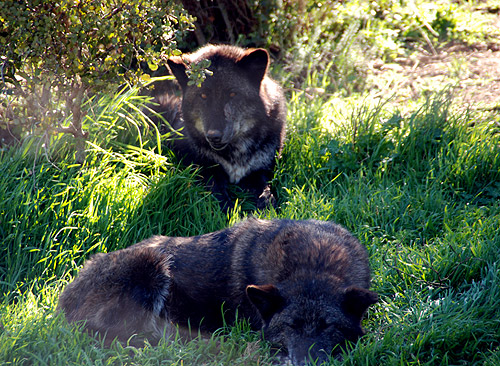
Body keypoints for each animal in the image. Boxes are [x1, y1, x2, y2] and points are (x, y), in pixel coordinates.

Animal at [58, 219, 376, 364]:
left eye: (328, 326)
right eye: (291, 326)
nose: (305, 364)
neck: (314, 264)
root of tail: (65, 300)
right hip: (151, 265)